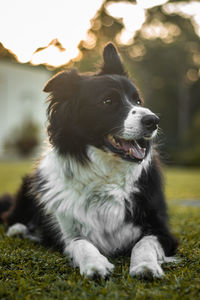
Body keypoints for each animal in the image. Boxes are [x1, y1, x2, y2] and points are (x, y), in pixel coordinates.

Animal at [1, 42, 177, 278]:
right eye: (108, 101)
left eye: (137, 100)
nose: (153, 120)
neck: (106, 175)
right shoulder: (65, 232)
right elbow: (81, 243)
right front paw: (95, 264)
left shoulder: (161, 231)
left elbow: (144, 243)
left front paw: (145, 265)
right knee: (11, 215)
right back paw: (19, 229)